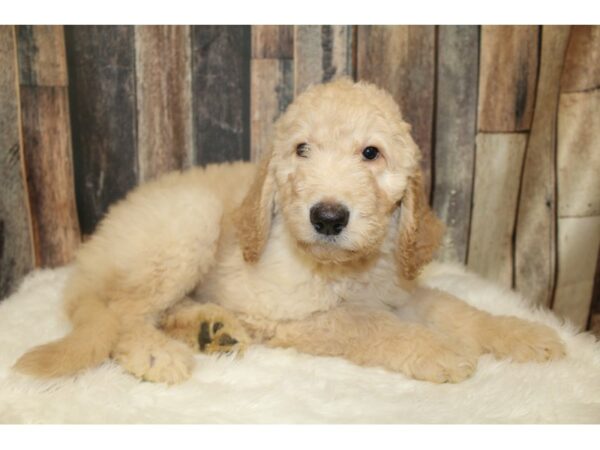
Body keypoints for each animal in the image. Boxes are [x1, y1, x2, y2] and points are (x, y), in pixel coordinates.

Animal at [15, 78, 568, 384]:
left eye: (371, 153)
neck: (346, 270)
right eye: (302, 150)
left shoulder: (401, 289)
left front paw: (524, 334)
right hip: (187, 225)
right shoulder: (292, 316)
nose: (328, 217)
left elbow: (458, 310)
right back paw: (156, 352)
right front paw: (439, 350)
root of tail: (87, 257)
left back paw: (210, 329)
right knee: (120, 313)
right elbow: (368, 326)